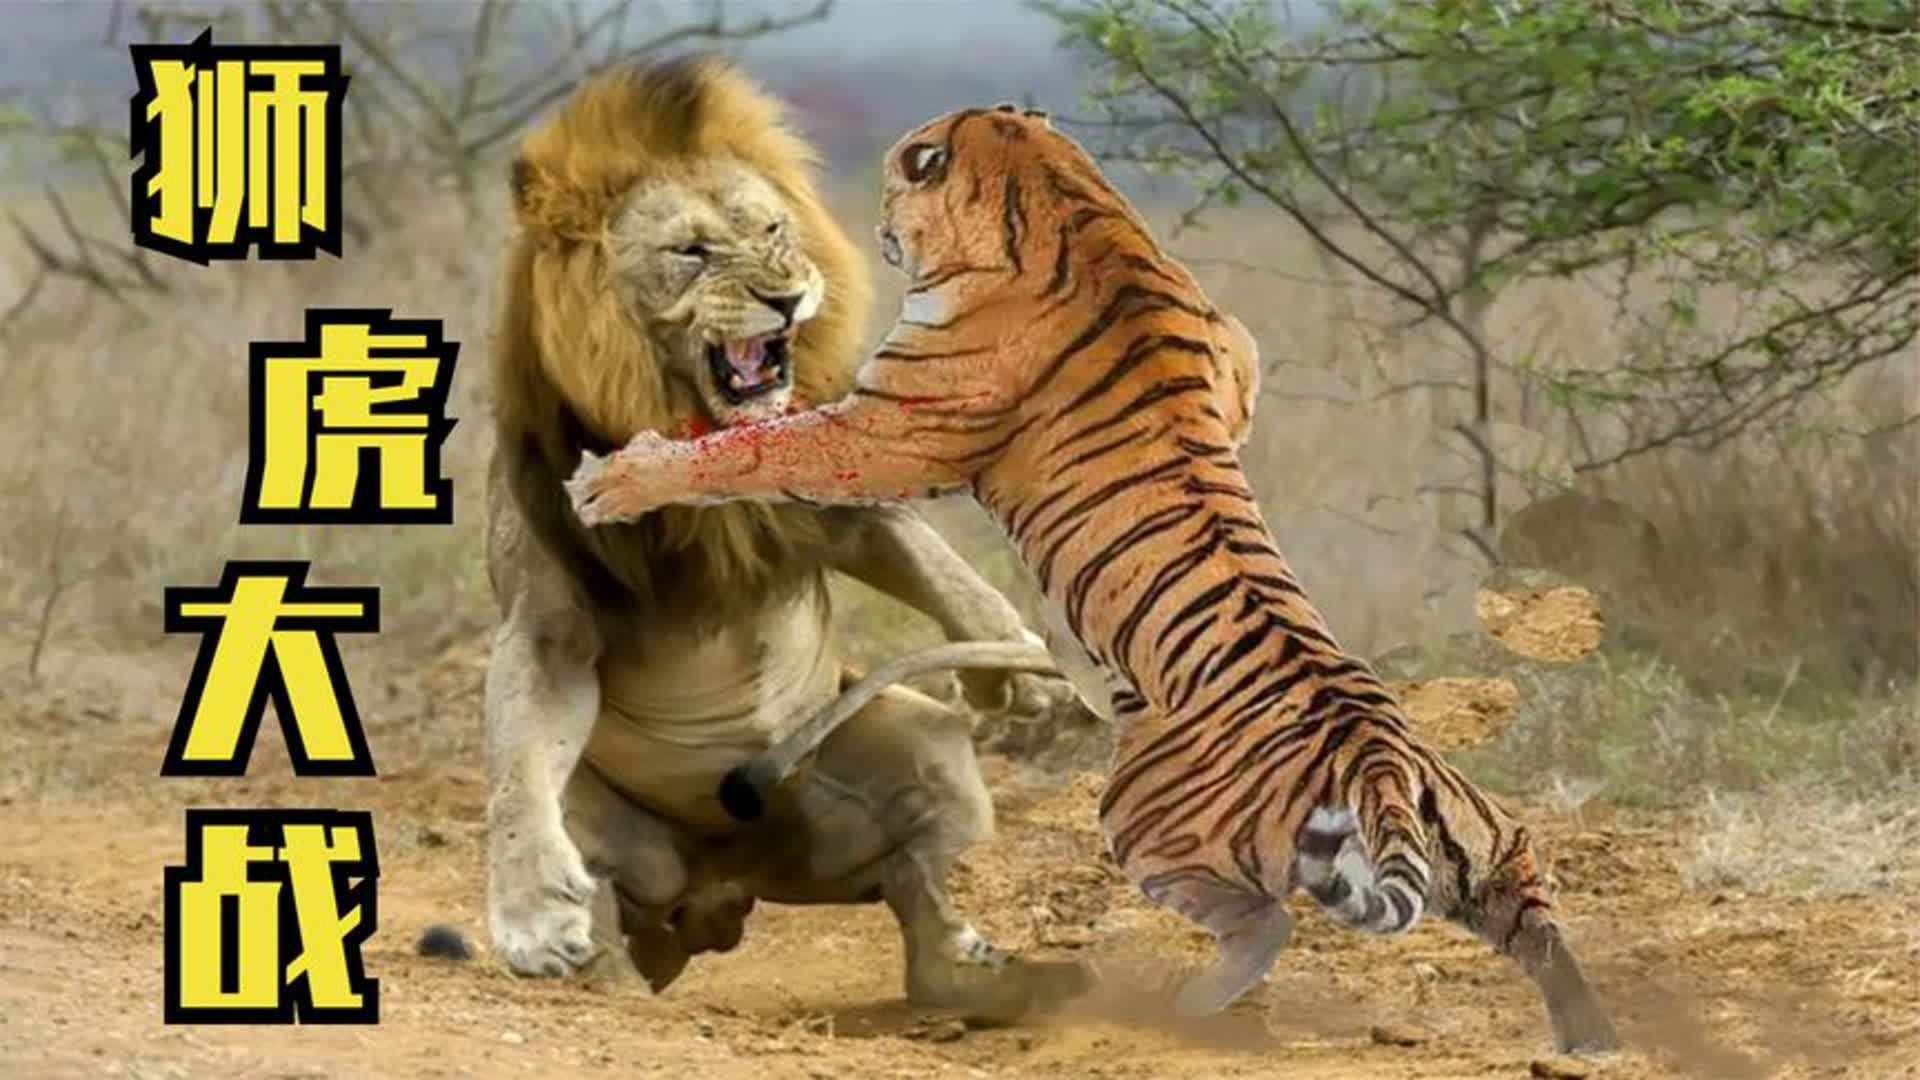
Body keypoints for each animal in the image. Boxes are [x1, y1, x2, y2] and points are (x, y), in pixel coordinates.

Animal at [564, 104, 1622, 1055]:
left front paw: (618, 479)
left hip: (1144, 817)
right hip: (1490, 848)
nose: (873, 224)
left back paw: (1185, 1009)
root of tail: (1380, 763)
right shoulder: (1233, 352)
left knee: (1267, 921)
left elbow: (755, 447)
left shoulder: (890, 427)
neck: (1063, 193)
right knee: (1537, 919)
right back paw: (1594, 1038)